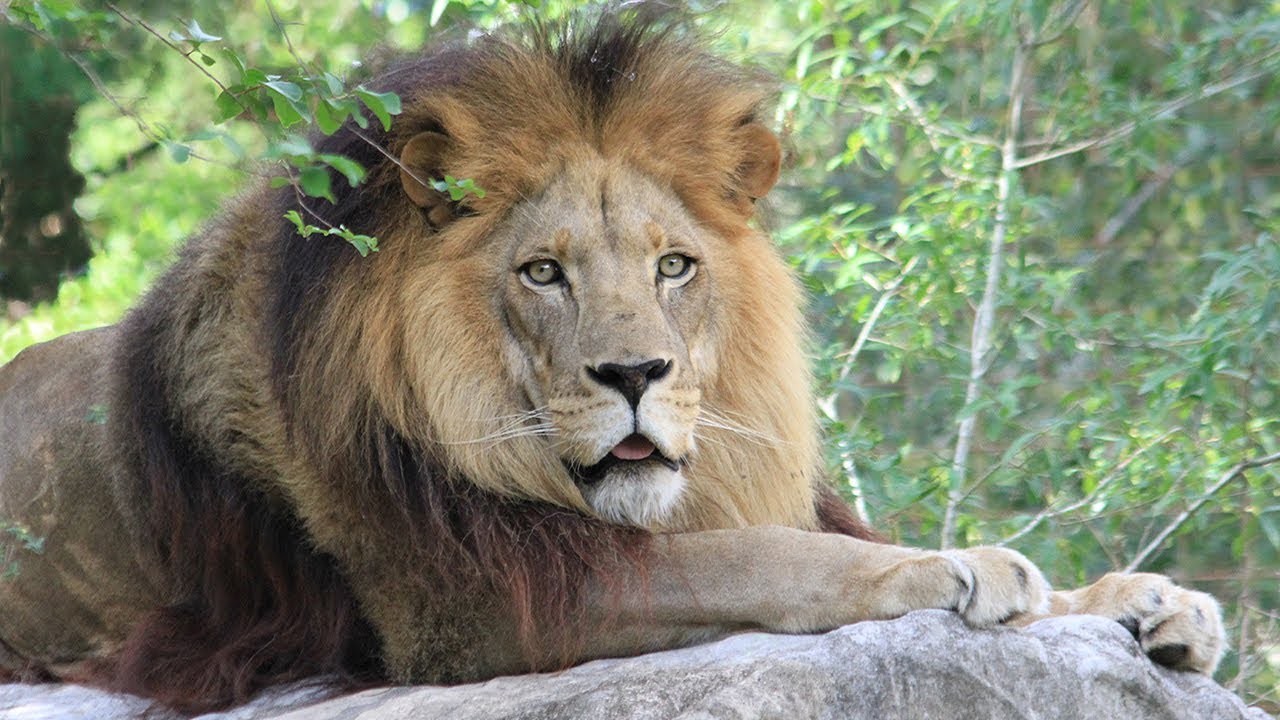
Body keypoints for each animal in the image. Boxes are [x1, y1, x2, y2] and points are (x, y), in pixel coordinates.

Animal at [0, 8, 1225, 714]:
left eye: (673, 266)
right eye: (543, 273)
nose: (634, 376)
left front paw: (1138, 600)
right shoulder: (468, 610)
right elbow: (758, 560)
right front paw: (952, 566)